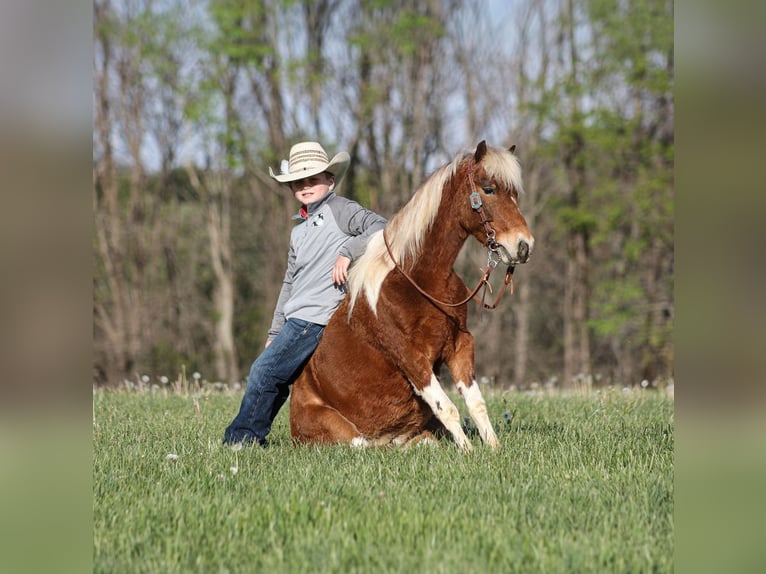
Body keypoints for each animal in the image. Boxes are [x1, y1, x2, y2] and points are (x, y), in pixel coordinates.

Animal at [289, 141, 534, 451]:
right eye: (488, 188)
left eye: (514, 193)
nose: (524, 245)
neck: (418, 279)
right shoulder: (411, 357)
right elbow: (447, 408)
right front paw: (467, 452)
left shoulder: (460, 344)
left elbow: (476, 403)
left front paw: (493, 449)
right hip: (346, 436)